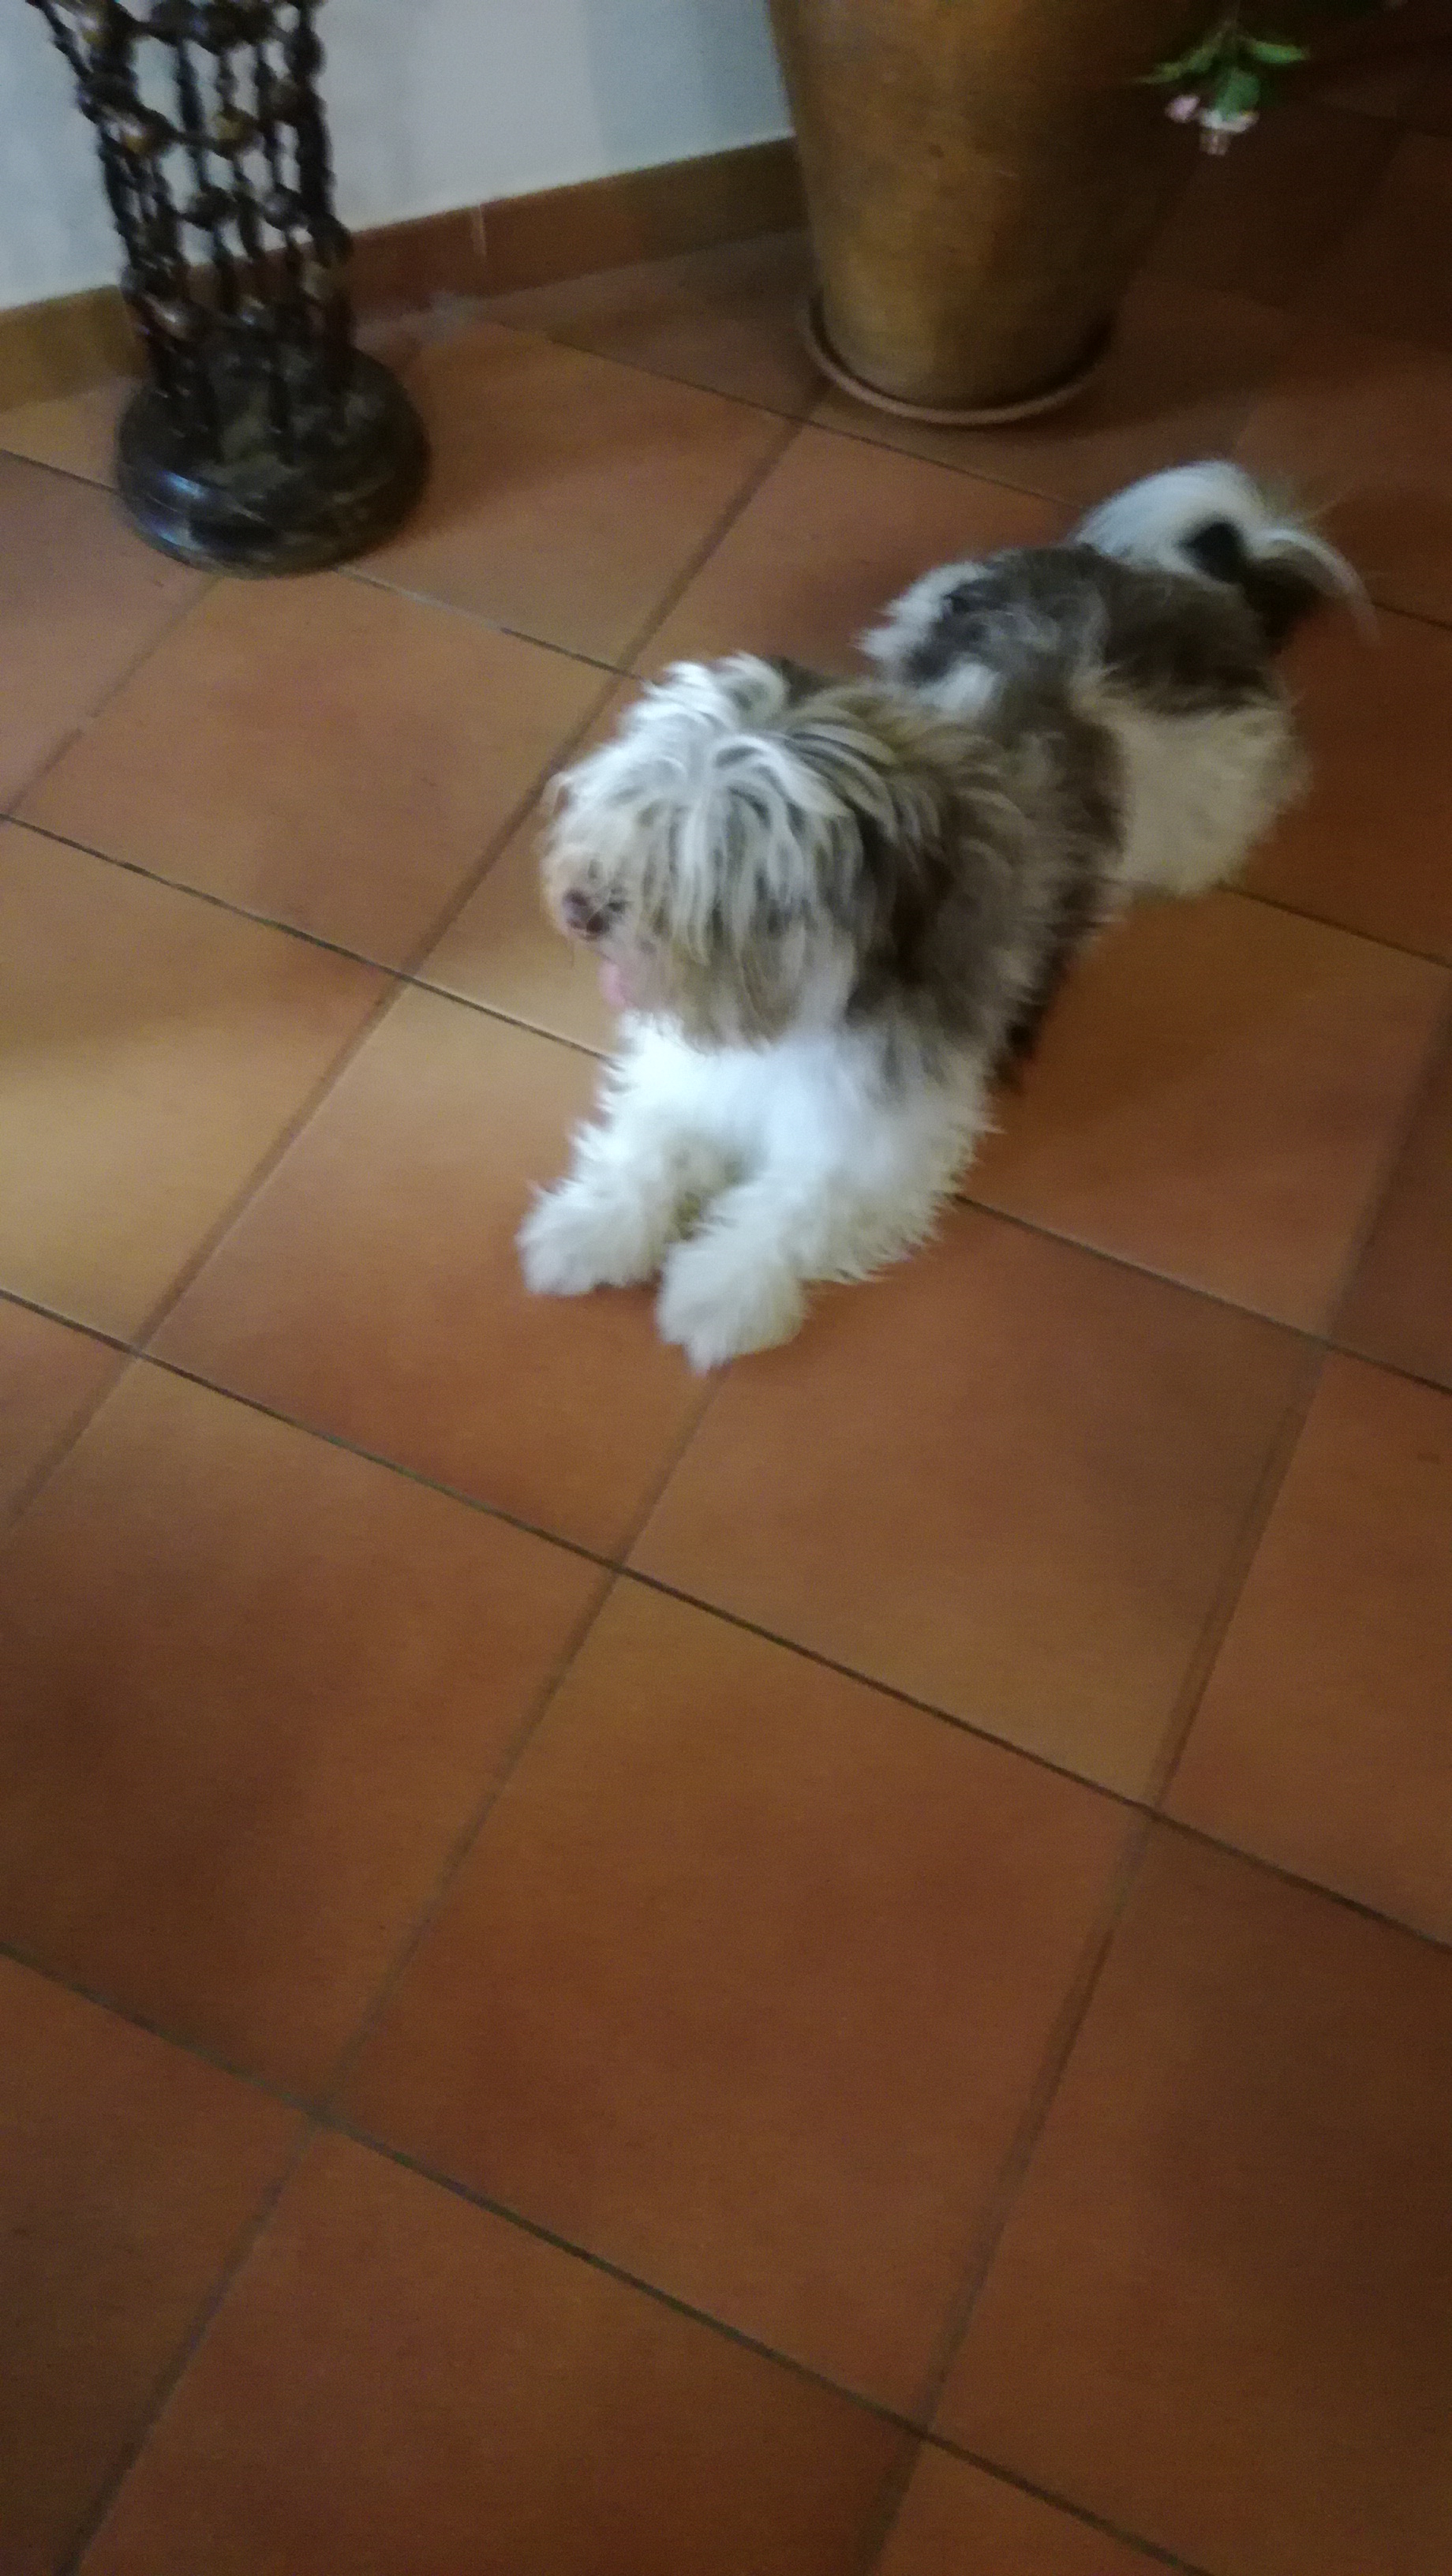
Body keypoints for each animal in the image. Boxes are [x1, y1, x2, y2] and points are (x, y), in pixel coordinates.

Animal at [519, 462, 1359, 1369]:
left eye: (713, 855)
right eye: (632, 806)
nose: (584, 906)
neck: (798, 1003)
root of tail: (1199, 588)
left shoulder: (880, 1139)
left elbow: (796, 1209)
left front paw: (721, 1294)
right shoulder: (688, 1081)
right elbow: (644, 1149)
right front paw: (586, 1230)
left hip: (1205, 825)